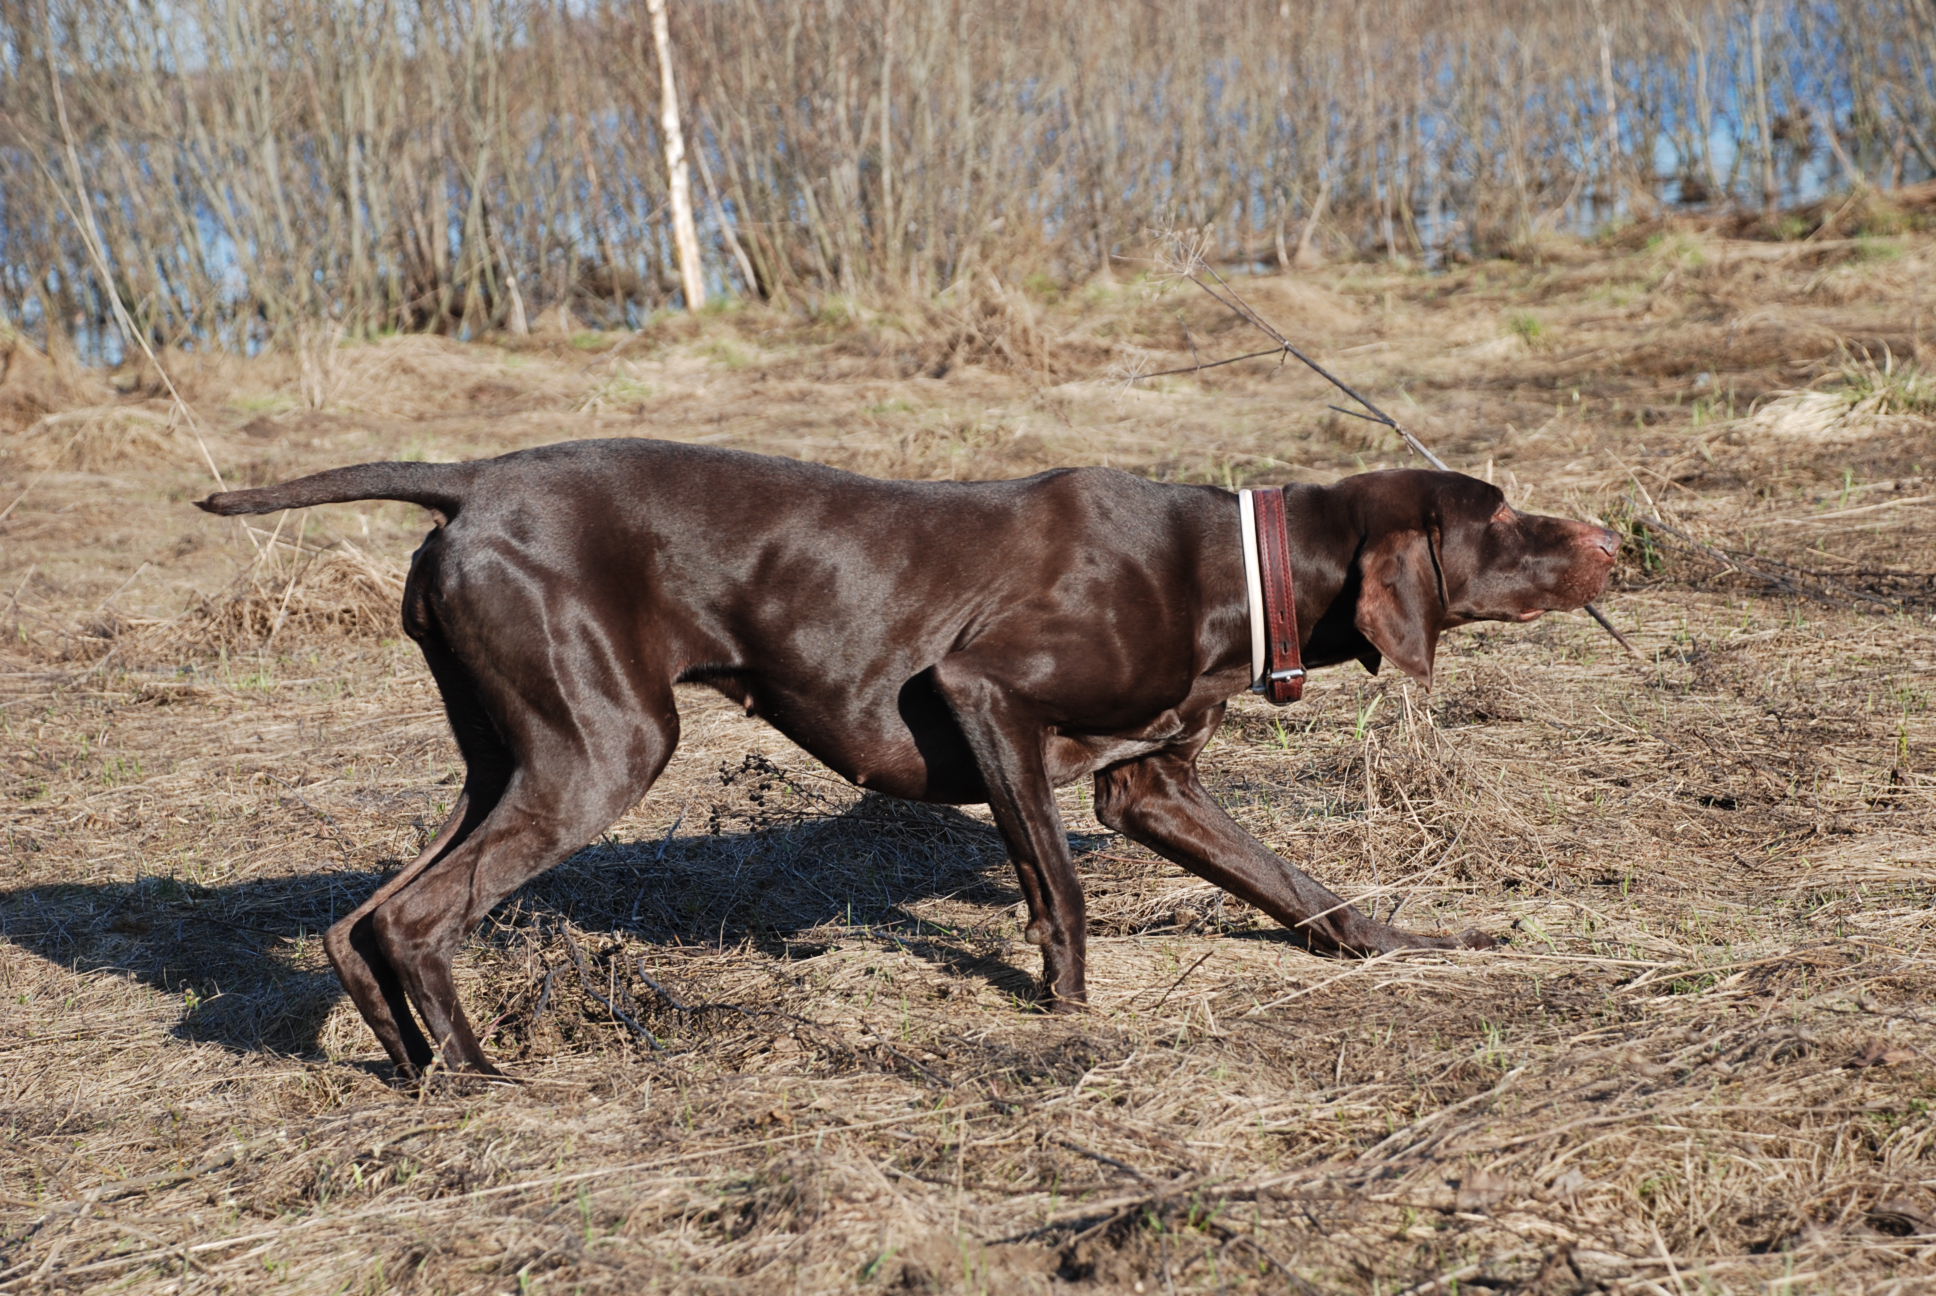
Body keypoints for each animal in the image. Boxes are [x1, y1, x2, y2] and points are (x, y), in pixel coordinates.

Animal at [200, 439, 1618, 1077]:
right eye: (1506, 519)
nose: (1611, 541)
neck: (1235, 567)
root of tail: (473, 480)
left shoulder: (1148, 785)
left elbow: (1301, 892)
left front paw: (1413, 947)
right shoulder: (984, 697)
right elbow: (1060, 886)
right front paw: (1066, 1017)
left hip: (510, 758)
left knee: (361, 921)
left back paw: (416, 1071)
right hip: (601, 751)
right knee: (418, 917)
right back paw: (487, 1077)